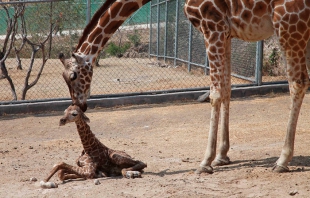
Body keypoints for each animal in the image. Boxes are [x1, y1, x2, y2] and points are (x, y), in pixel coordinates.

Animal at [60, 0, 310, 173]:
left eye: (72, 76)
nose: (79, 106)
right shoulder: (226, 32)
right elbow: (227, 89)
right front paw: (221, 156)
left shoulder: (213, 26)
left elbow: (215, 94)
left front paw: (205, 161)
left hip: (288, 21)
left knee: (298, 82)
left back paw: (282, 160)